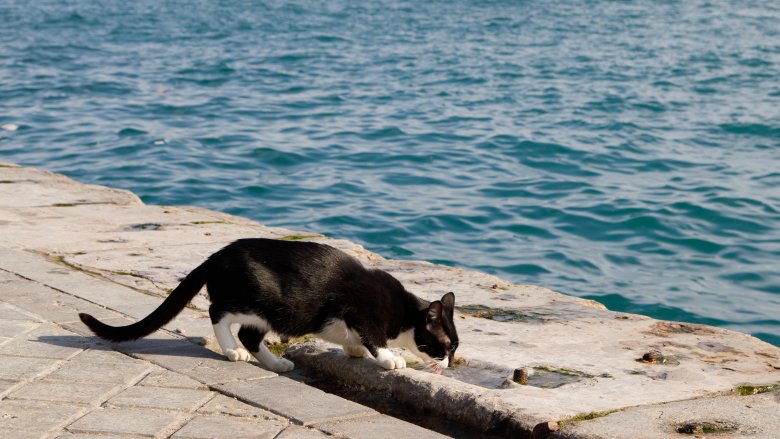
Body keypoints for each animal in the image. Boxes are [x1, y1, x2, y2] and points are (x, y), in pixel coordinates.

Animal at [79, 239, 458, 372]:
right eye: (444, 346)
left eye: (455, 348)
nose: (449, 363)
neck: (404, 312)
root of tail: (216, 255)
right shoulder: (362, 312)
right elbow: (375, 339)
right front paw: (390, 358)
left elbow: (355, 341)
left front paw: (354, 350)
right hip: (261, 301)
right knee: (219, 313)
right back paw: (232, 351)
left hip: (266, 312)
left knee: (249, 335)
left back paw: (276, 363)